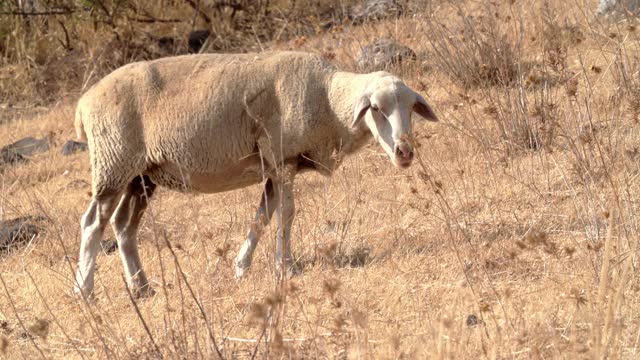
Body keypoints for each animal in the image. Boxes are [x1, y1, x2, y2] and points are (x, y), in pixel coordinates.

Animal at [72, 50, 438, 298]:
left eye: (411, 107)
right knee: (93, 223)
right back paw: (85, 290)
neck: (327, 99)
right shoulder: (282, 157)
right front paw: (286, 266)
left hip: (141, 175)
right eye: (375, 108)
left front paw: (241, 267)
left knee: (123, 225)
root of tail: (83, 102)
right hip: (113, 161)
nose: (404, 152)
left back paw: (142, 287)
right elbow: (287, 214)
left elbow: (263, 216)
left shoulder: (274, 166)